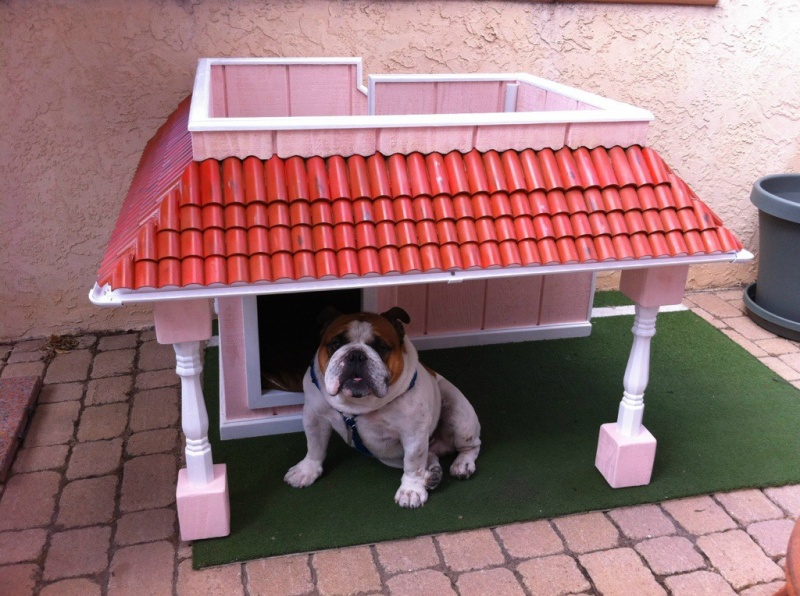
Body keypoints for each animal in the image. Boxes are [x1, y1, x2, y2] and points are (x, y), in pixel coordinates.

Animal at [284, 307, 481, 508]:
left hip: (460, 416)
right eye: (336, 343)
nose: (356, 355)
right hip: (388, 456)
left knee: (471, 445)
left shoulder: (414, 433)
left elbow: (413, 463)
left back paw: (462, 465)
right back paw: (431, 474)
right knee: (430, 456)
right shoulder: (314, 416)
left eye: (381, 347)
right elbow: (315, 445)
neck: (356, 405)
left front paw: (411, 490)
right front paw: (307, 470)